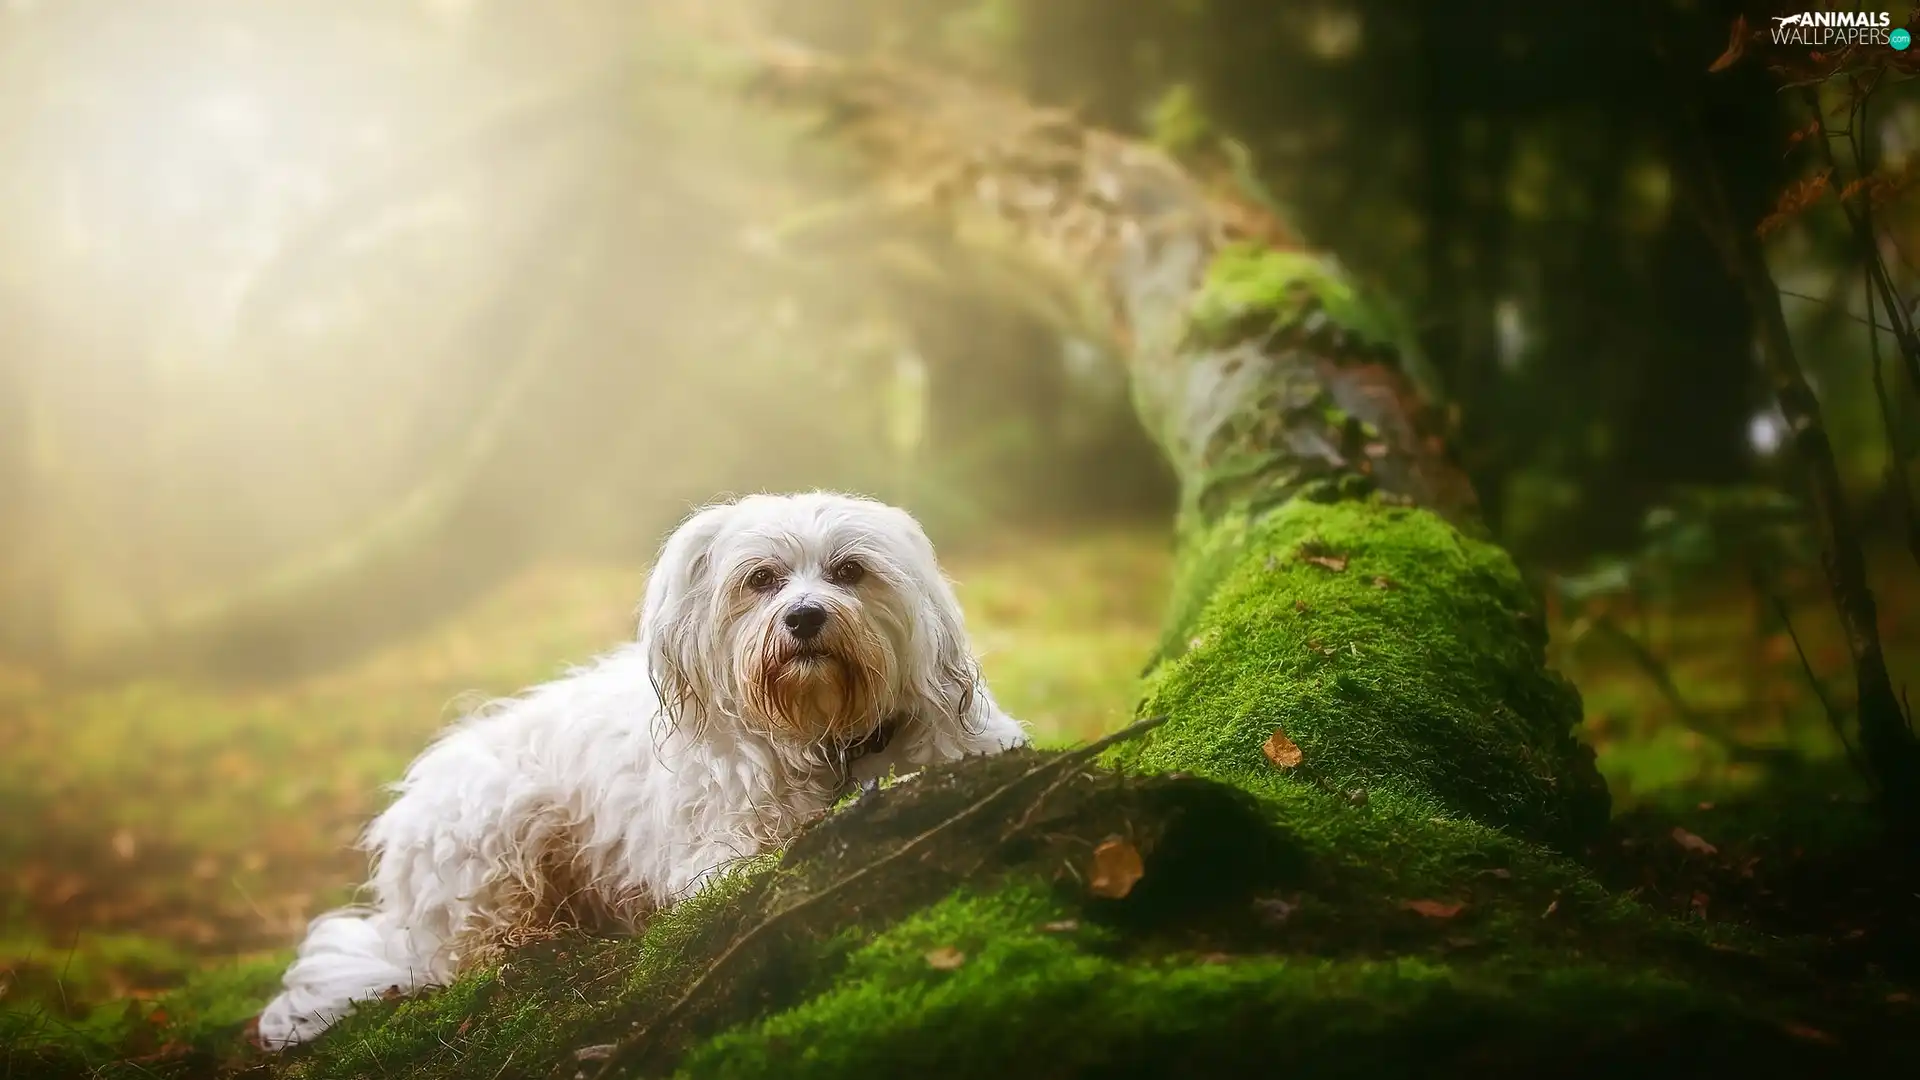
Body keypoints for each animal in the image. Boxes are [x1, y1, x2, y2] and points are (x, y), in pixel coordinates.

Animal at [266, 490, 1036, 1045]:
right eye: (761, 580)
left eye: (850, 571)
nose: (806, 617)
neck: (823, 731)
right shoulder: (719, 854)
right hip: (495, 821)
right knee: (464, 954)